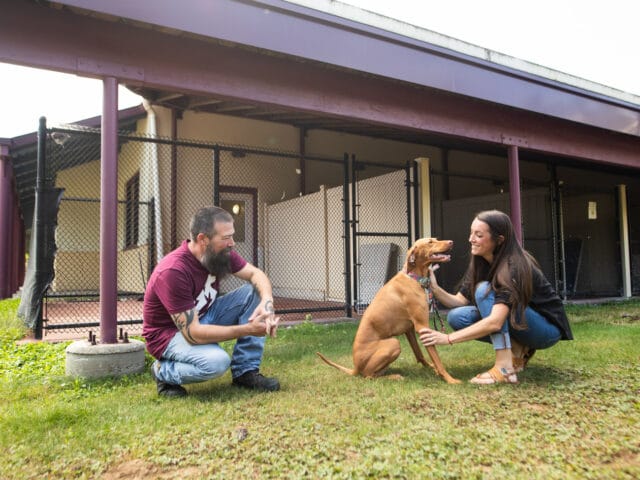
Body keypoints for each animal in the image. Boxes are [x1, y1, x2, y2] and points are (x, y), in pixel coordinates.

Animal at [316, 238, 460, 384]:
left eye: (436, 239)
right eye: (430, 242)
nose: (451, 242)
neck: (413, 277)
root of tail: (355, 368)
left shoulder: (410, 330)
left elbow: (419, 353)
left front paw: (431, 368)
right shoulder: (422, 327)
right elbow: (437, 358)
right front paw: (449, 379)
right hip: (393, 343)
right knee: (368, 376)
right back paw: (394, 376)